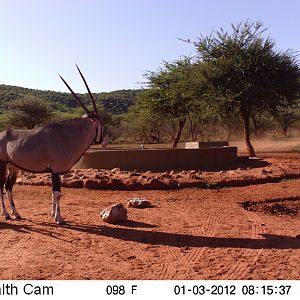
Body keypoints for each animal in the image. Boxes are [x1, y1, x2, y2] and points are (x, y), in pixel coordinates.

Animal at [0, 66, 108, 225]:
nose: (105, 141)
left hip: (13, 167)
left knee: (8, 187)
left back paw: (16, 214)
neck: (67, 135)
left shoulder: (53, 172)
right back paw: (6, 214)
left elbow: (53, 192)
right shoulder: (56, 170)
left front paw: (53, 214)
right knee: (1, 186)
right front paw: (59, 218)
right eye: (100, 123)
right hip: (2, 165)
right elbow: (57, 193)